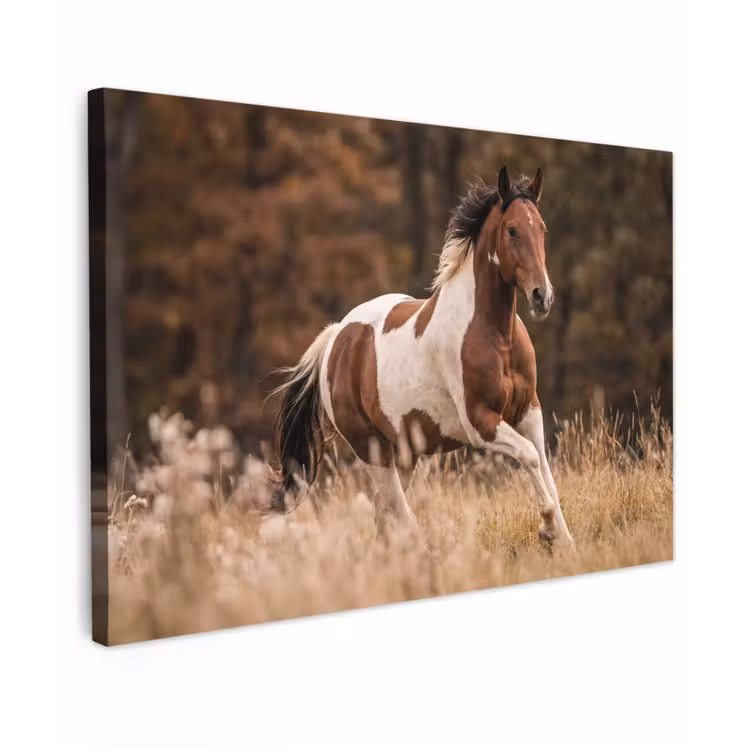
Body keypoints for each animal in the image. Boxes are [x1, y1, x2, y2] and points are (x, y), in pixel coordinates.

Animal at [269, 166, 575, 550]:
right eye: (512, 229)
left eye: (542, 228)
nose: (541, 296)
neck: (495, 335)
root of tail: (336, 338)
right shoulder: (480, 423)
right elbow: (530, 456)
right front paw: (547, 530)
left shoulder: (528, 411)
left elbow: (546, 471)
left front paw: (564, 540)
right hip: (373, 450)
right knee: (398, 514)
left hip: (404, 453)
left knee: (384, 516)